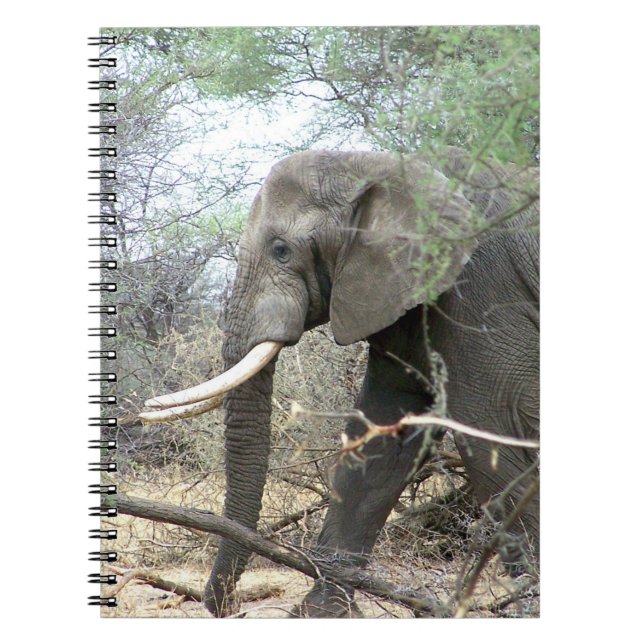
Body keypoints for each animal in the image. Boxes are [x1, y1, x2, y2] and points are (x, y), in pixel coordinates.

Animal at [140, 147, 540, 617]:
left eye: (281, 250)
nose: (222, 605)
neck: (377, 165)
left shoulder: (482, 290)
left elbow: (492, 431)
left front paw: (530, 600)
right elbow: (379, 438)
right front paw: (320, 612)